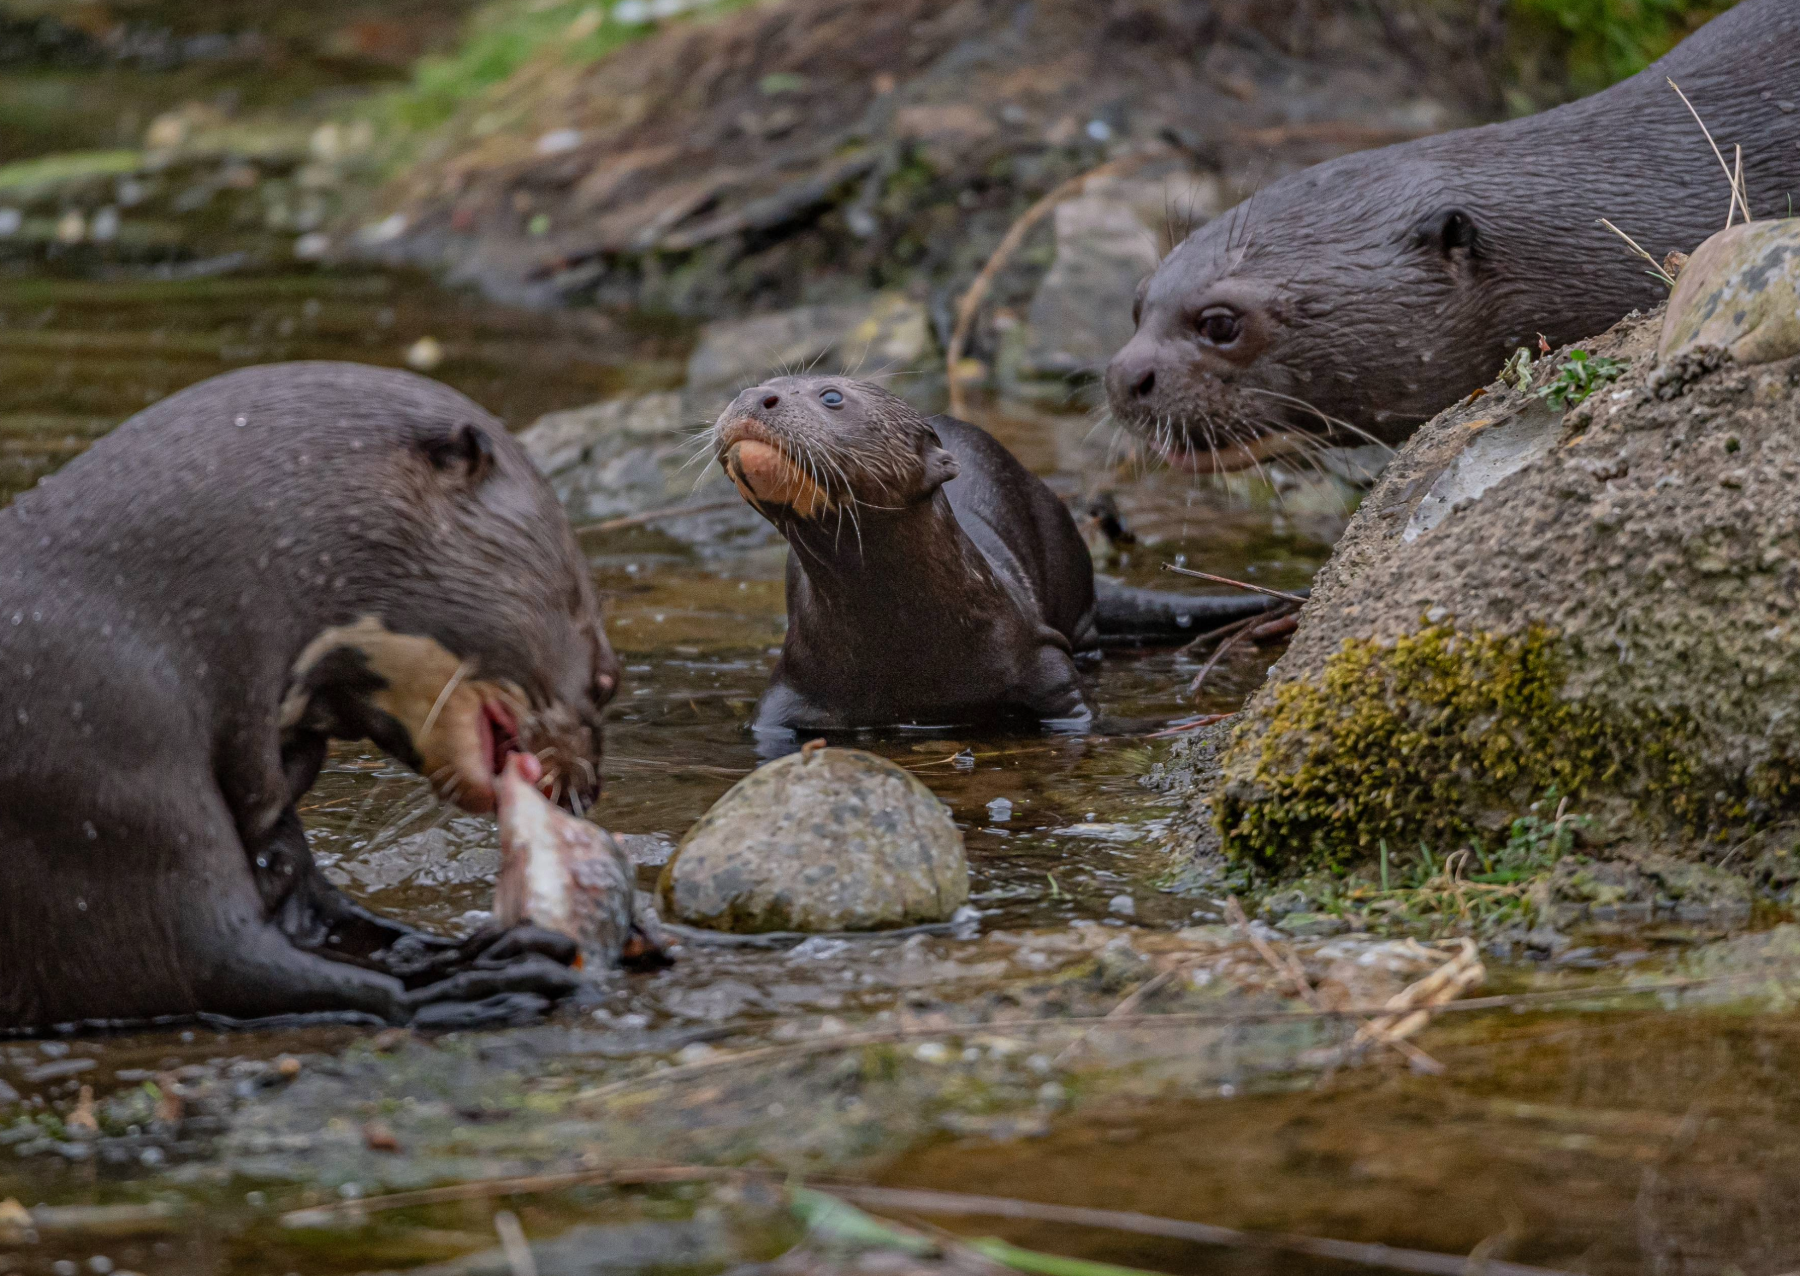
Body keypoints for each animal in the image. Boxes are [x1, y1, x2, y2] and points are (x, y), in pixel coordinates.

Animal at [1, 362, 620, 1032]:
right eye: (605, 676)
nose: (591, 788)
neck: (142, 617)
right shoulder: (94, 773)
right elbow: (201, 964)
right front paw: (481, 977)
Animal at [712, 376, 1275, 734]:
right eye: (757, 383)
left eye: (831, 395)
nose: (753, 396)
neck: (902, 642)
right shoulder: (791, 684)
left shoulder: (1040, 657)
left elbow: (1081, 714)